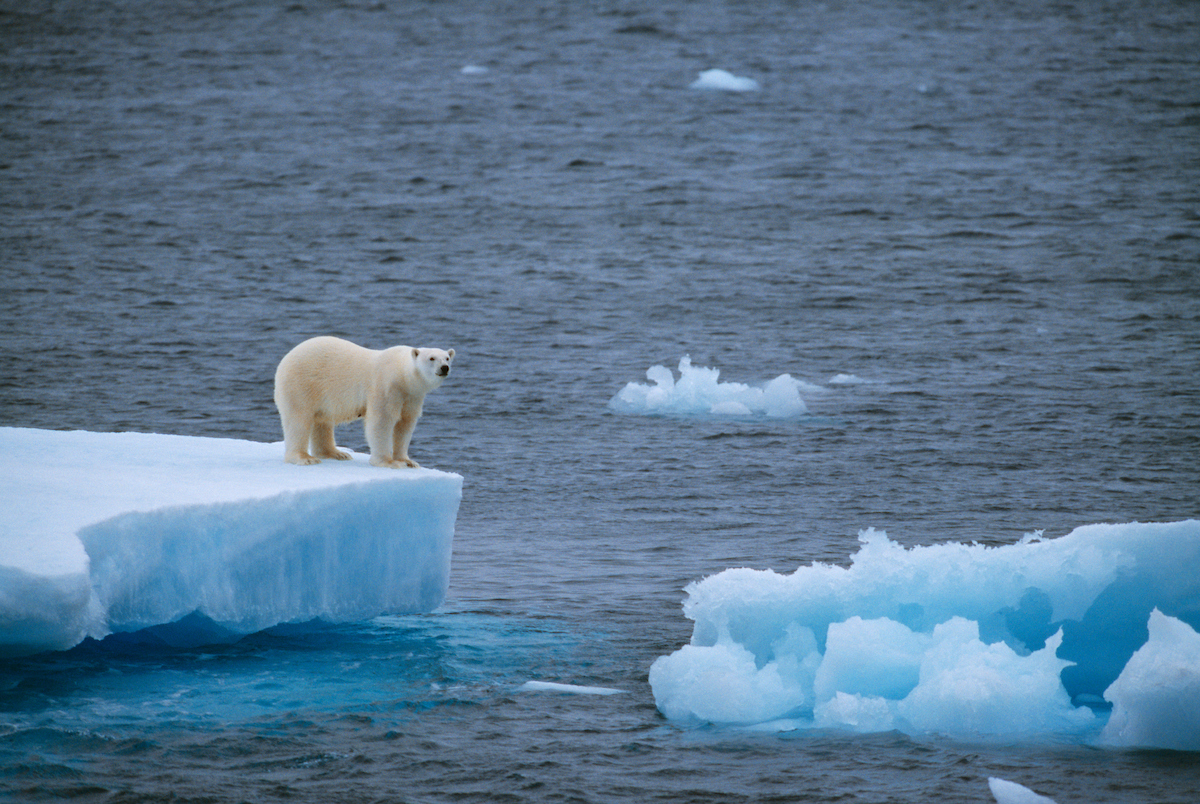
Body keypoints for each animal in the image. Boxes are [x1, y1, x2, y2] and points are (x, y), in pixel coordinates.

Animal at [272, 336, 453, 472]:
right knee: (299, 420)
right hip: (301, 385)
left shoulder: (411, 396)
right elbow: (381, 422)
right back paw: (305, 458)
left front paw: (408, 461)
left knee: (322, 421)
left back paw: (336, 453)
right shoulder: (385, 386)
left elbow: (405, 424)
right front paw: (389, 462)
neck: (401, 374)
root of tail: (285, 359)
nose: (445, 367)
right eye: (431, 358)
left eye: (447, 357)